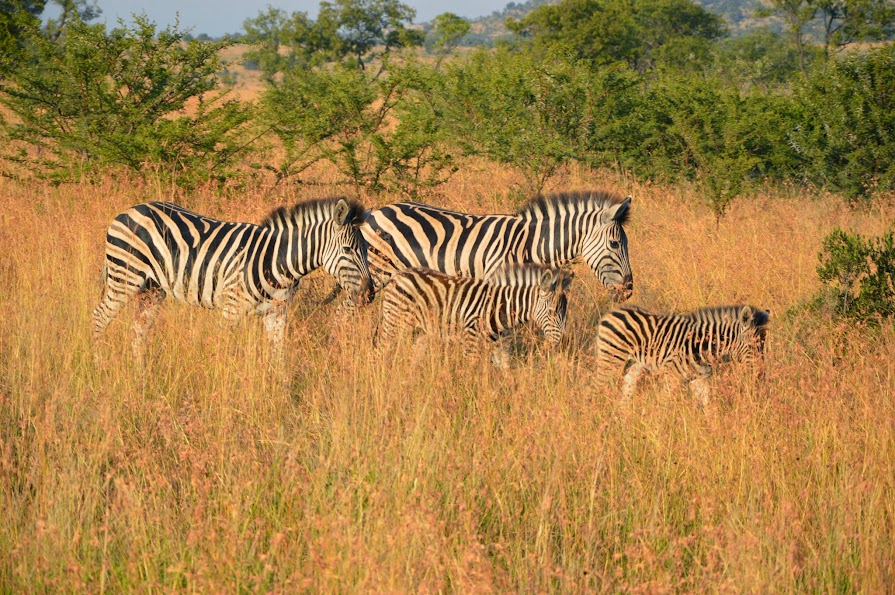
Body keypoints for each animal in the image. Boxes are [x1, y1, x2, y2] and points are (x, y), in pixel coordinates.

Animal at [90, 198, 372, 360]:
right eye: (348, 250)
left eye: (366, 249)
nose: (369, 294)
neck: (278, 260)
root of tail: (128, 211)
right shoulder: (231, 308)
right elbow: (222, 351)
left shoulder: (277, 313)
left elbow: (278, 355)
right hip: (125, 278)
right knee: (99, 317)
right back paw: (98, 365)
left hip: (152, 288)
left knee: (139, 329)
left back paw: (140, 374)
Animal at [372, 264, 576, 366]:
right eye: (552, 312)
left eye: (565, 312)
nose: (566, 343)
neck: (501, 308)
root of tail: (399, 274)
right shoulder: (470, 339)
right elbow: (470, 373)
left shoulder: (502, 346)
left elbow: (505, 374)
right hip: (394, 322)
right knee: (381, 350)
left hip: (422, 331)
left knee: (414, 358)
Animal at [596, 304, 768, 408]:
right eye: (752, 346)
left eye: (763, 346)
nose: (761, 374)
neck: (702, 346)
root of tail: (612, 312)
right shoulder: (671, 377)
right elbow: (663, 405)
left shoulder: (700, 379)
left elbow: (708, 407)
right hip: (610, 361)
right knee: (595, 387)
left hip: (633, 366)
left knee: (625, 395)